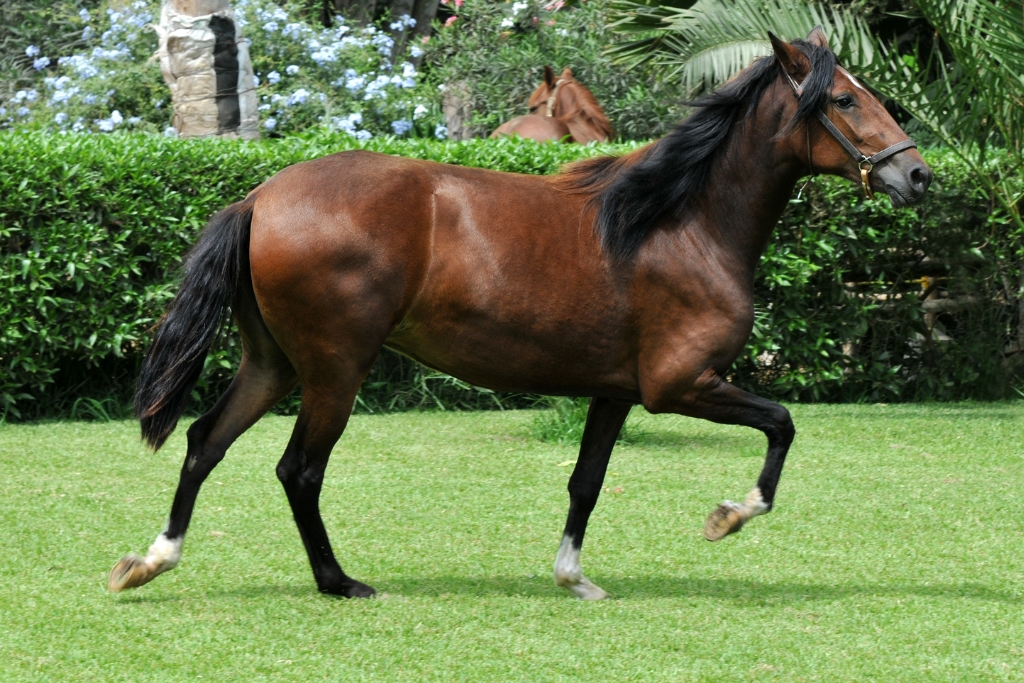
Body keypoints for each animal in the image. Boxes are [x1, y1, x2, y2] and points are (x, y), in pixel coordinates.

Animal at [110, 29, 929, 602]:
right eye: (846, 99)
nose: (916, 174)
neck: (679, 222)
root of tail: (260, 197)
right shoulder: (680, 385)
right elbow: (782, 424)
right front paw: (729, 514)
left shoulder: (614, 392)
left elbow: (586, 483)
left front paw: (574, 578)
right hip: (335, 369)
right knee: (298, 470)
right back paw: (338, 581)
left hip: (274, 363)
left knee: (204, 442)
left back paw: (149, 561)